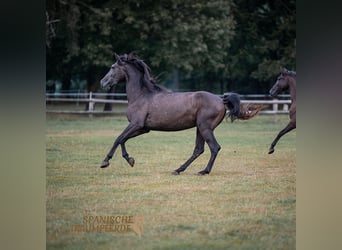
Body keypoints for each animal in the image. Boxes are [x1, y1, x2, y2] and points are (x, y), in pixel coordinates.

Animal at [99, 53, 262, 174]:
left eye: (113, 67)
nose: (102, 83)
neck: (141, 95)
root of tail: (221, 99)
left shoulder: (136, 124)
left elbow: (118, 139)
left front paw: (105, 162)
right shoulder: (143, 128)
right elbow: (122, 139)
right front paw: (130, 160)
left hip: (205, 128)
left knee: (214, 147)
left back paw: (204, 171)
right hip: (200, 128)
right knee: (198, 149)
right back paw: (178, 169)